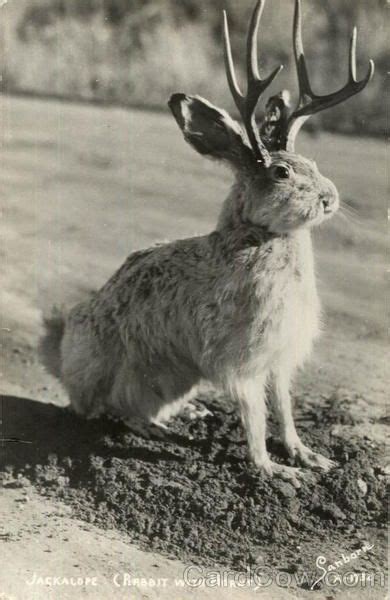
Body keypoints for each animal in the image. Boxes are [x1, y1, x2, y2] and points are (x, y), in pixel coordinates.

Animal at [40, 1, 374, 488]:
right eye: (281, 173)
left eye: (311, 162)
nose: (330, 199)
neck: (261, 234)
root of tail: (62, 359)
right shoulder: (241, 362)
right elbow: (255, 416)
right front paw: (273, 471)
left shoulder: (279, 360)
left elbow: (285, 409)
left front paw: (309, 457)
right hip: (129, 371)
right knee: (113, 408)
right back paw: (158, 429)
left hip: (178, 378)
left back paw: (191, 415)